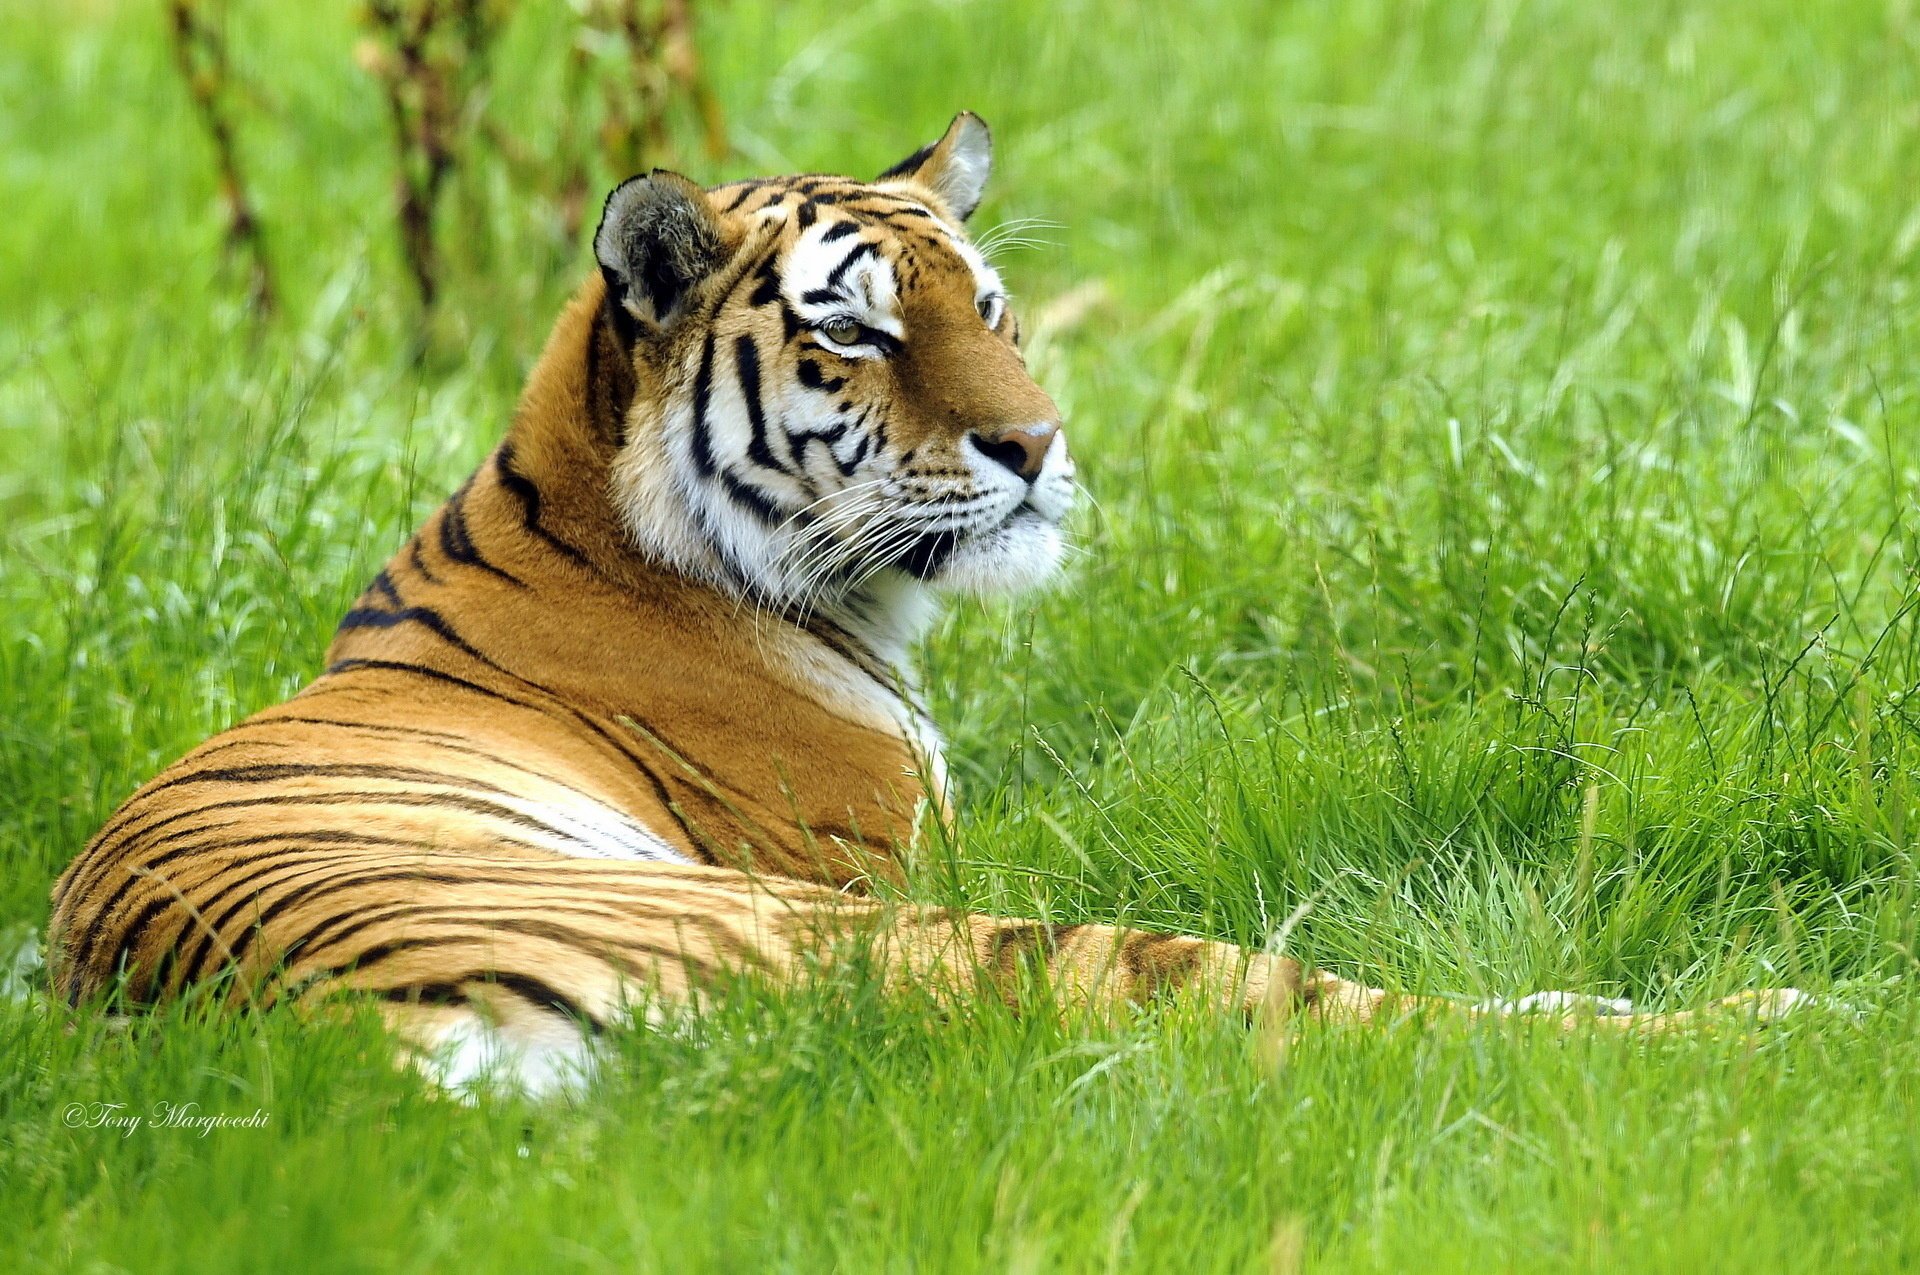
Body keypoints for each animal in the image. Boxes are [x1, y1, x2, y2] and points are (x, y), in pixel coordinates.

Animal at [47, 114, 1808, 1091]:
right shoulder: (896, 862)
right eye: (858, 332)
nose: (1040, 442)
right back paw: (1766, 1015)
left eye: (993, 308)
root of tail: (300, 1029)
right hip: (871, 939)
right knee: (1313, 1006)